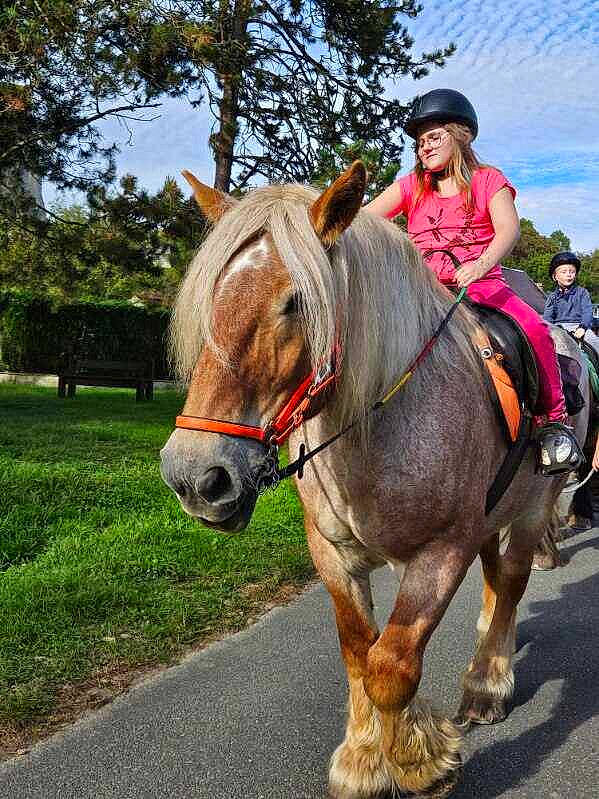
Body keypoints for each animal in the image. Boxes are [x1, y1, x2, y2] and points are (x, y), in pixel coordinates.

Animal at [160, 162, 589, 798]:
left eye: (296, 302)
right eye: (210, 294)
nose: (196, 475)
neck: (379, 424)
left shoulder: (442, 550)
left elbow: (392, 666)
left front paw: (419, 763)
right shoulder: (333, 552)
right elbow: (359, 654)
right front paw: (364, 759)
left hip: (534, 505)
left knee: (511, 580)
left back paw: (487, 682)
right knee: (496, 583)